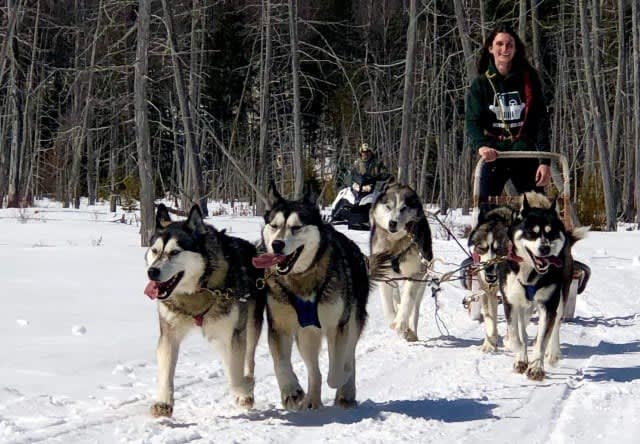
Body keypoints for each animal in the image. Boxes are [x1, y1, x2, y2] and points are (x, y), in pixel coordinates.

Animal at [144, 205, 264, 416]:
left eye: (175, 252)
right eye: (155, 251)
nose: (152, 271)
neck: (197, 290)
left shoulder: (234, 333)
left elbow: (236, 372)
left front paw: (243, 390)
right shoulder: (169, 333)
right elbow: (165, 370)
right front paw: (164, 402)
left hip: (248, 326)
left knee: (247, 359)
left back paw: (246, 385)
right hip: (214, 335)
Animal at [368, 179, 432, 342]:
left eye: (403, 208)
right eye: (388, 207)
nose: (392, 223)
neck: (396, 244)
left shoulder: (416, 273)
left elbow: (407, 299)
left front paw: (401, 323)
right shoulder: (384, 278)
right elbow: (388, 306)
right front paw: (394, 321)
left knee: (414, 307)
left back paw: (411, 331)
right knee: (396, 297)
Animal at [500, 193, 592, 380]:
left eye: (551, 233)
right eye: (531, 232)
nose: (545, 248)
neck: (529, 274)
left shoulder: (548, 305)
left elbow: (542, 340)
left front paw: (536, 367)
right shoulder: (511, 303)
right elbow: (516, 336)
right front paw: (520, 357)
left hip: (562, 297)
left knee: (556, 324)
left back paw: (554, 354)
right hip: (526, 307)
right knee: (523, 327)